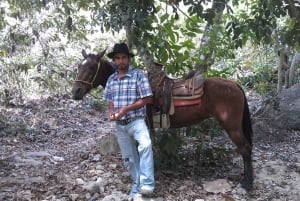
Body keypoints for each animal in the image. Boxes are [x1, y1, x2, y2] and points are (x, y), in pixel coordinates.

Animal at [71, 49, 253, 191]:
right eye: (79, 66)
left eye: (92, 67)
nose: (75, 92)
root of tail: (235, 85)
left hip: (232, 126)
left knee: (245, 149)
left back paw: (247, 183)